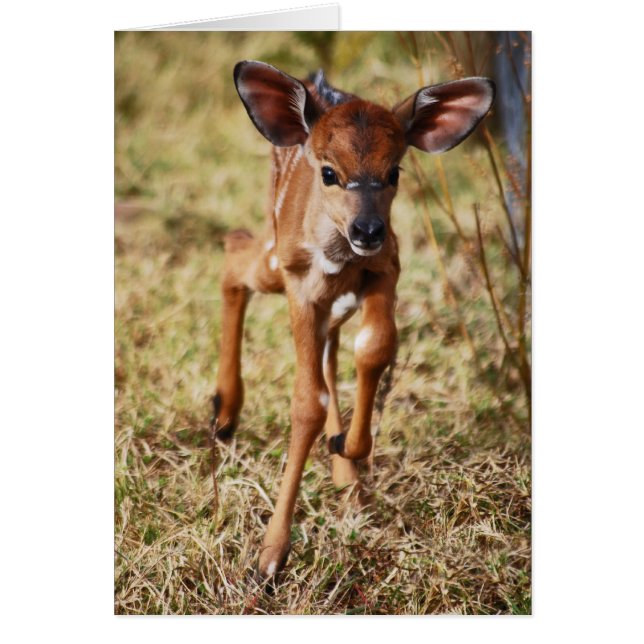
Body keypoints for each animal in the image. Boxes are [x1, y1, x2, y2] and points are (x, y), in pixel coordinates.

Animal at [210, 60, 495, 578]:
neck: (337, 254)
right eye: (329, 171)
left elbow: (374, 348)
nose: (368, 230)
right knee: (235, 251)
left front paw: (348, 448)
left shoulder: (385, 268)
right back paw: (223, 414)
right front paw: (270, 557)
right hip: (275, 264)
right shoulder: (301, 286)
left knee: (329, 347)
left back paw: (345, 477)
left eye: (394, 170)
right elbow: (306, 402)